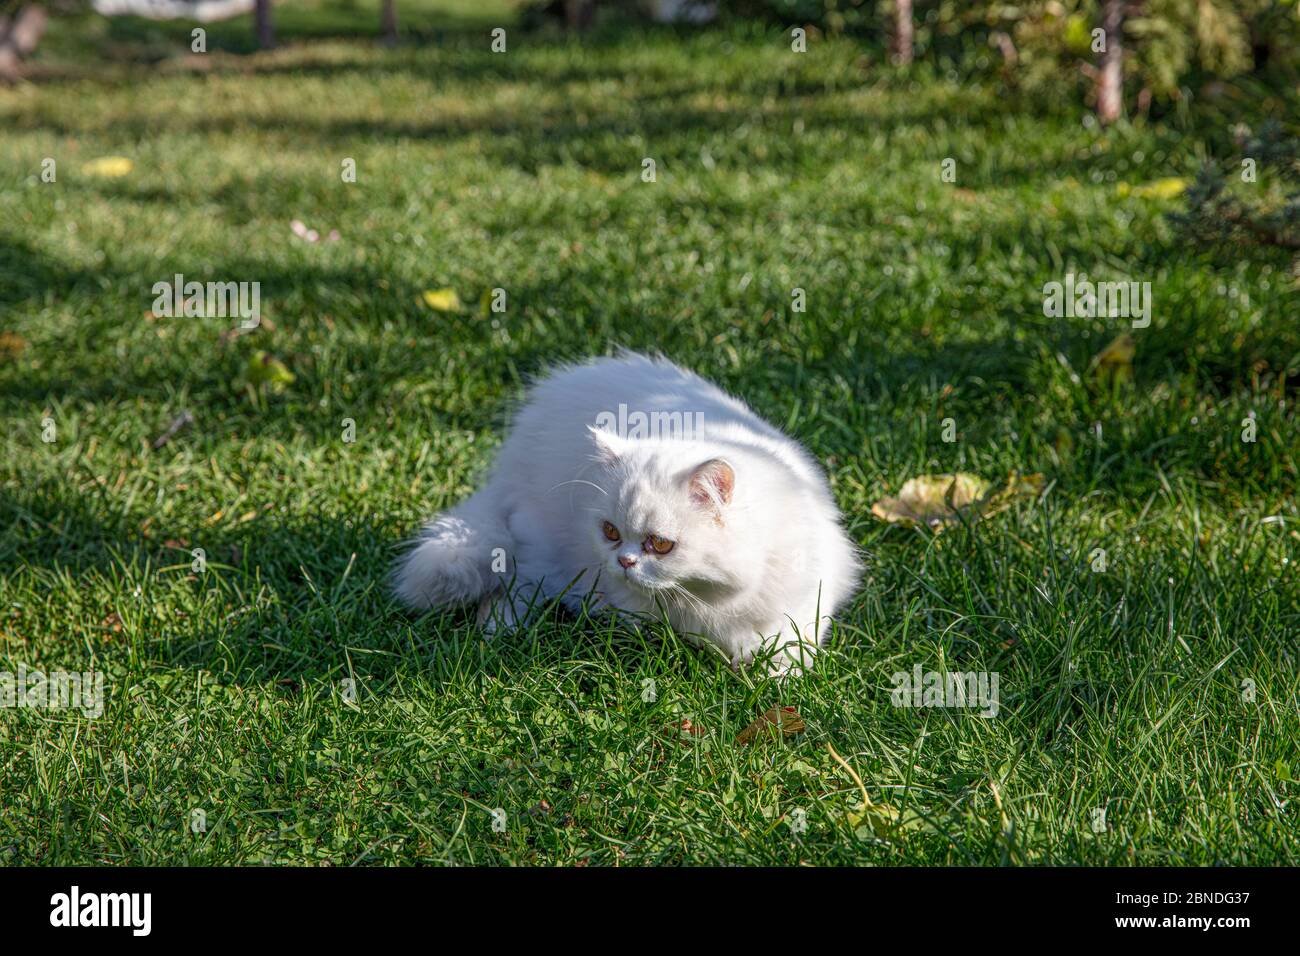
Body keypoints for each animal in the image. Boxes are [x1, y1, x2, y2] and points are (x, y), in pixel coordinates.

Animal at [395, 351, 863, 671]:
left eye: (661, 544)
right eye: (611, 532)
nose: (624, 561)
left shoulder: (807, 596)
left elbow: (790, 647)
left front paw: (774, 678)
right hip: (540, 549)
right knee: (509, 589)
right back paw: (499, 630)